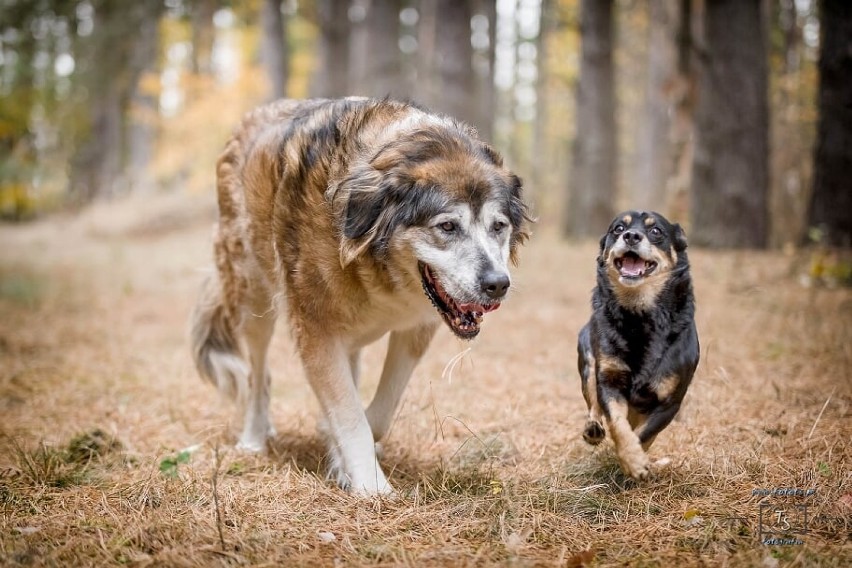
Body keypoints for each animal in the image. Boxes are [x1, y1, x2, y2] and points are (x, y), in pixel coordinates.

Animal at [190, 98, 528, 496]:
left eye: (499, 227)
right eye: (447, 226)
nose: (498, 284)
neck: (376, 267)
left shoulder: (415, 330)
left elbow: (378, 411)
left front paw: (341, 457)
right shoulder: (316, 331)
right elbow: (351, 417)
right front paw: (372, 487)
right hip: (253, 306)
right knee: (258, 376)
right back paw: (254, 437)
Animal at [580, 211, 700, 478]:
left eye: (655, 231)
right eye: (618, 228)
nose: (631, 236)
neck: (639, 314)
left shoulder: (669, 402)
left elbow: (644, 434)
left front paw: (635, 460)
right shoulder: (609, 381)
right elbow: (617, 423)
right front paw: (632, 459)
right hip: (587, 360)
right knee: (593, 404)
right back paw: (593, 429)